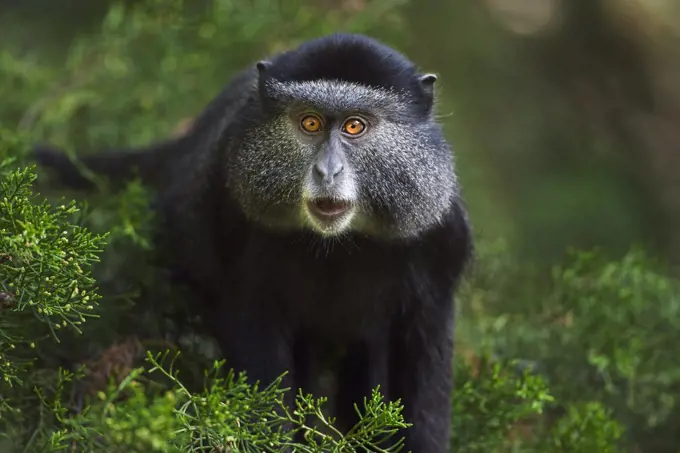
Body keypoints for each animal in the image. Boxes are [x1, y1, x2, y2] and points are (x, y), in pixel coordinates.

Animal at [31, 32, 476, 452]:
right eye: (310, 123)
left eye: (354, 126)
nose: (327, 171)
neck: (336, 245)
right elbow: (259, 349)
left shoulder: (438, 246)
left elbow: (424, 366)